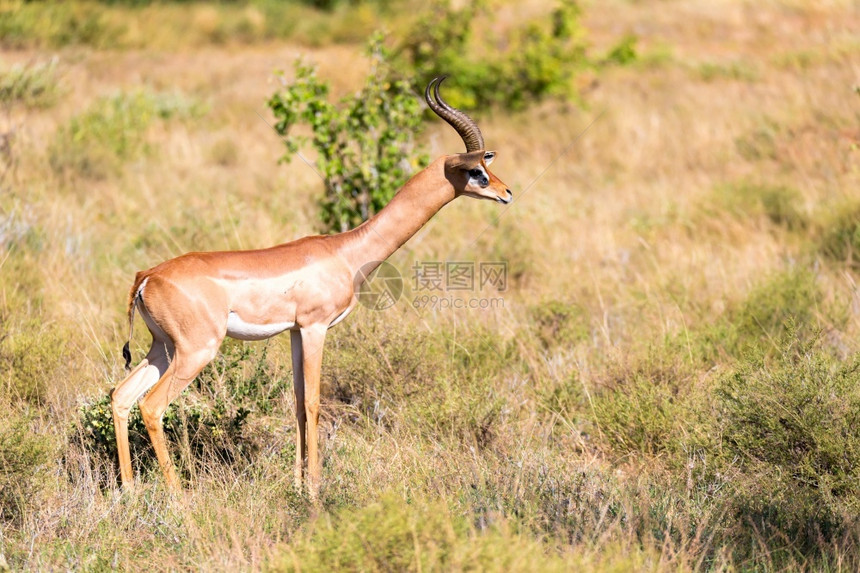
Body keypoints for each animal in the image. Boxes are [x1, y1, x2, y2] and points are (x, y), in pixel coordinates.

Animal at [108, 75, 510, 496]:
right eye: (477, 171)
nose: (507, 193)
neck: (345, 250)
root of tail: (148, 276)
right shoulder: (316, 327)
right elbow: (316, 402)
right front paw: (315, 489)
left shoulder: (295, 332)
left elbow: (299, 403)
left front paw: (299, 485)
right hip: (195, 350)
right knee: (152, 406)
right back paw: (178, 496)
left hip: (162, 348)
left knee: (121, 396)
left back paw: (130, 491)